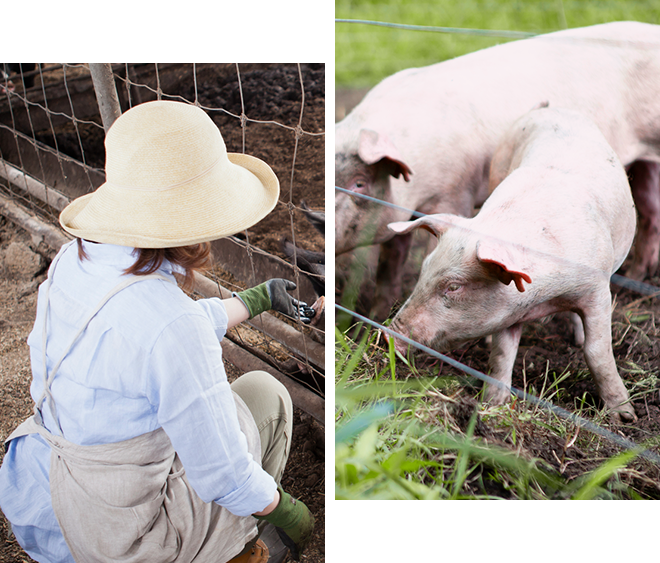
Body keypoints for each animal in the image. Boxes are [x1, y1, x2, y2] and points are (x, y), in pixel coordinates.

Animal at [386, 108, 640, 420]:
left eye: (454, 286)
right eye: (423, 270)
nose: (387, 335)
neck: (546, 297)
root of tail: (550, 108)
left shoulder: (597, 288)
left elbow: (597, 352)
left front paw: (624, 416)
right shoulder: (509, 309)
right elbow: (501, 354)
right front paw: (492, 406)